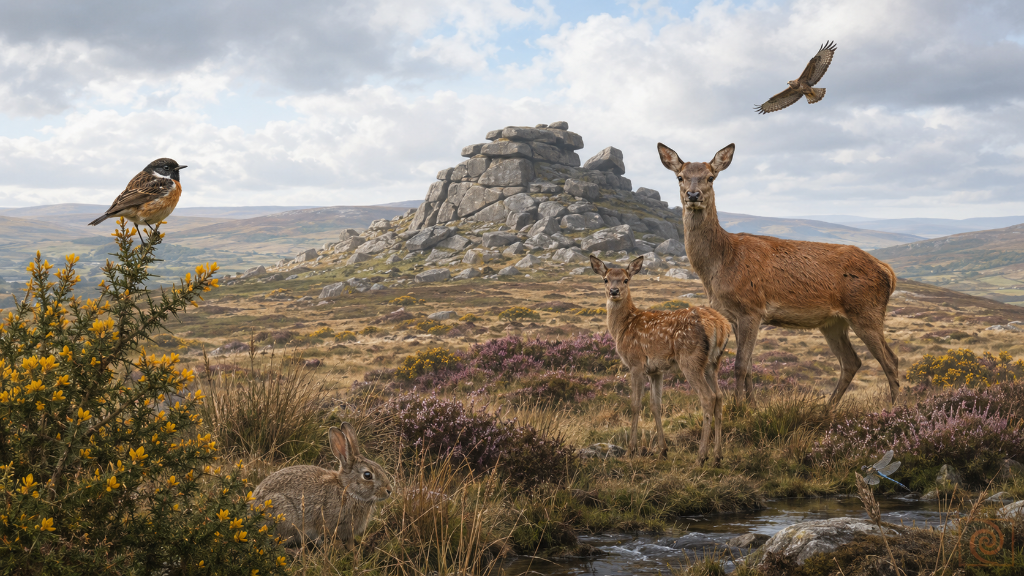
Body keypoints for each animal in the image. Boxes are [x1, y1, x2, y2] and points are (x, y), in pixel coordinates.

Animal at [591, 255, 731, 465]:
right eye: (605, 279)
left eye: (626, 279)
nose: (614, 292)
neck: (623, 326)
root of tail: (720, 325)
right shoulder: (656, 370)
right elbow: (656, 405)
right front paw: (663, 450)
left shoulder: (636, 363)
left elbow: (635, 404)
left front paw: (631, 450)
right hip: (713, 362)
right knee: (720, 396)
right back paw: (717, 456)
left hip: (690, 358)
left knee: (708, 397)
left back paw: (701, 456)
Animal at [657, 142, 900, 408]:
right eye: (680, 177)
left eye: (711, 177)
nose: (693, 195)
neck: (720, 264)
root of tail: (887, 271)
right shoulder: (733, 315)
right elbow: (749, 365)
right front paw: (752, 406)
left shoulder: (752, 308)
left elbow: (740, 365)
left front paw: (738, 407)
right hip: (833, 322)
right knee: (851, 361)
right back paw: (827, 409)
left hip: (866, 311)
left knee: (890, 360)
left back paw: (895, 408)